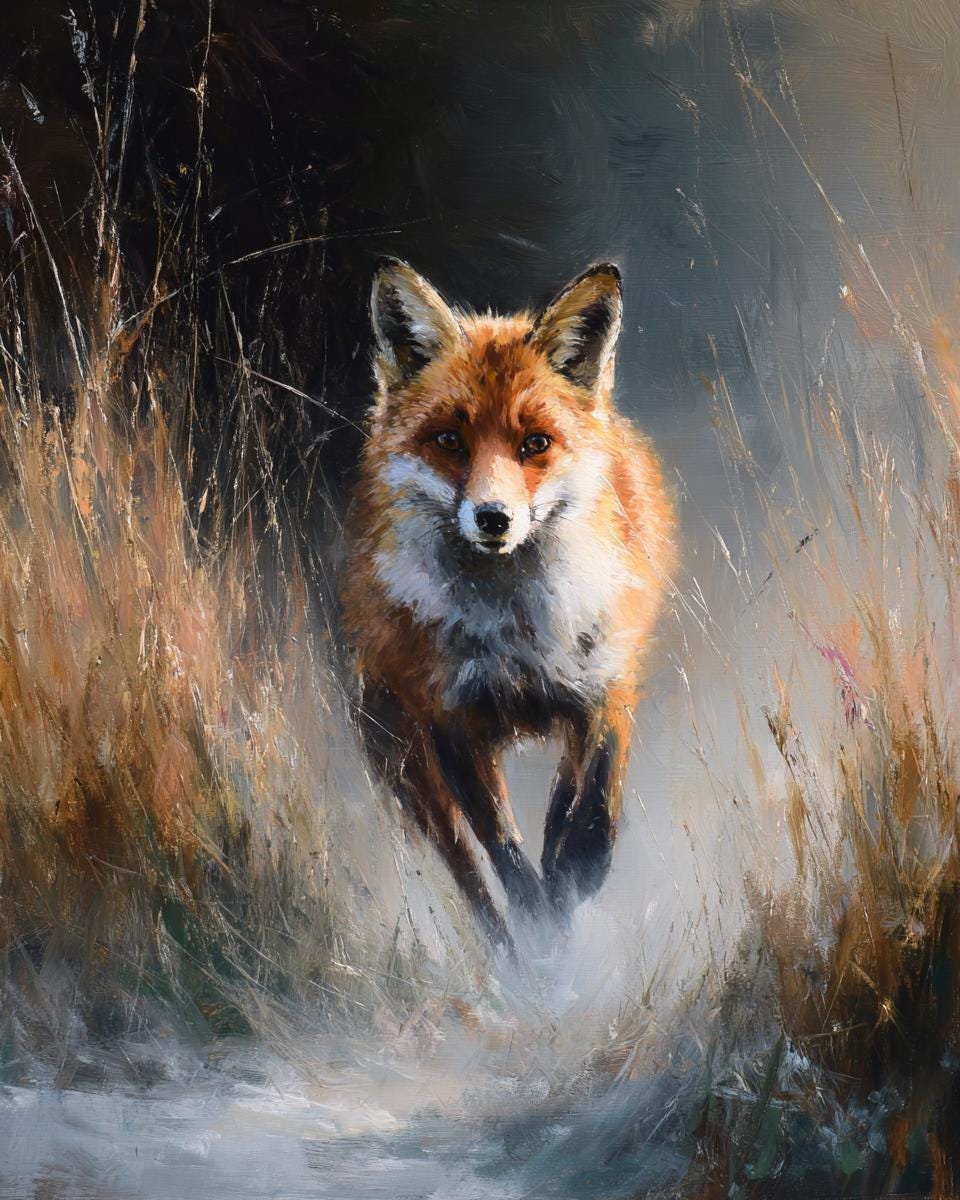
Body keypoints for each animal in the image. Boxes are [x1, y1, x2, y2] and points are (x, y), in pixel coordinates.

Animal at [340, 258, 675, 947]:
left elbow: (590, 813)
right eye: (449, 440)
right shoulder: (451, 721)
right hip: (408, 767)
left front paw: (575, 877)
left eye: (535, 444)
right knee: (471, 881)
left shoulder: (606, 686)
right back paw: (512, 955)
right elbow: (505, 854)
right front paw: (540, 924)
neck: (519, 634)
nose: (493, 518)